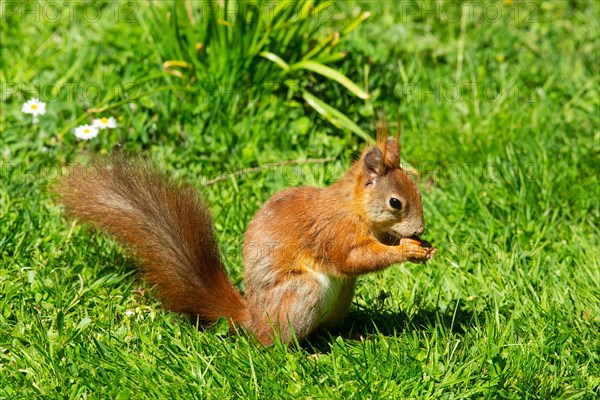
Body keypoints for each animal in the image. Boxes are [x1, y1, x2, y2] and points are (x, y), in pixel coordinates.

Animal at [56, 127, 436, 344]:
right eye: (396, 202)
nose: (419, 229)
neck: (354, 208)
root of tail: (252, 320)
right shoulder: (333, 231)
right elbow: (349, 259)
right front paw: (407, 251)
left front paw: (422, 246)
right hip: (302, 294)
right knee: (274, 345)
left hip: (341, 296)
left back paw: (349, 336)